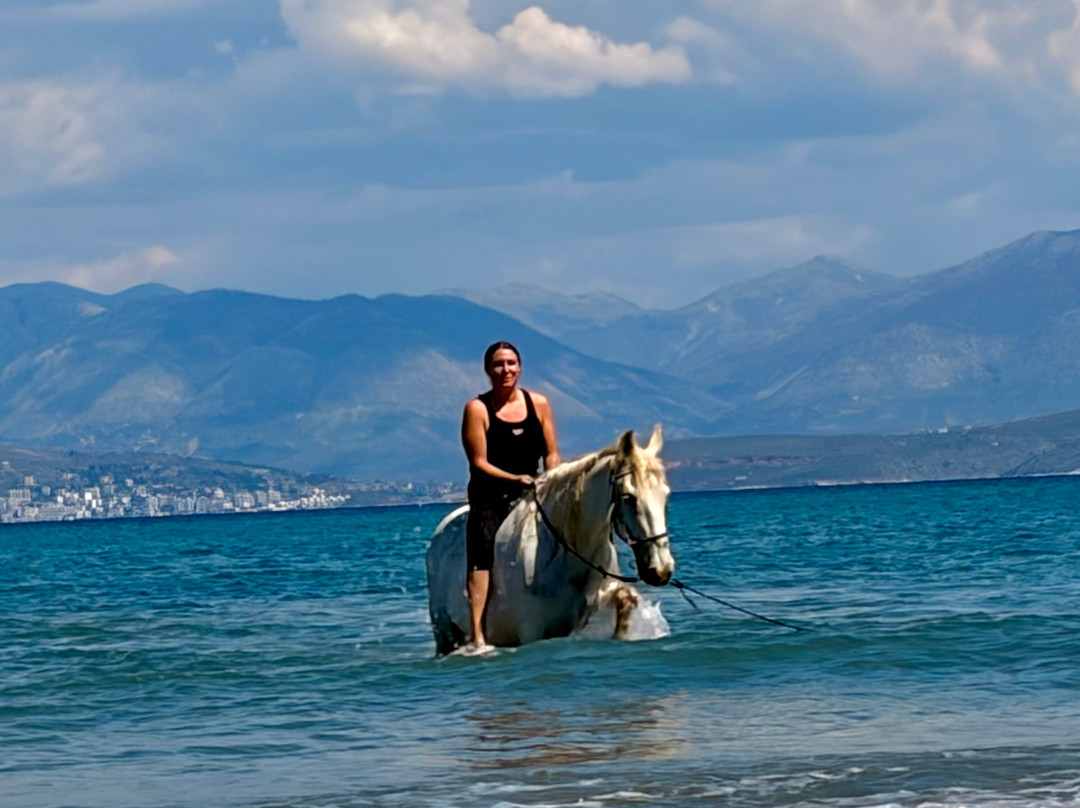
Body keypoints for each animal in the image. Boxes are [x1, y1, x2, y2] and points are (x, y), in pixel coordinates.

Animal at [425, 425, 675, 655]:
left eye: (665, 494)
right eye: (629, 497)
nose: (662, 570)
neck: (570, 557)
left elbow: (623, 598)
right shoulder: (532, 631)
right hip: (445, 633)